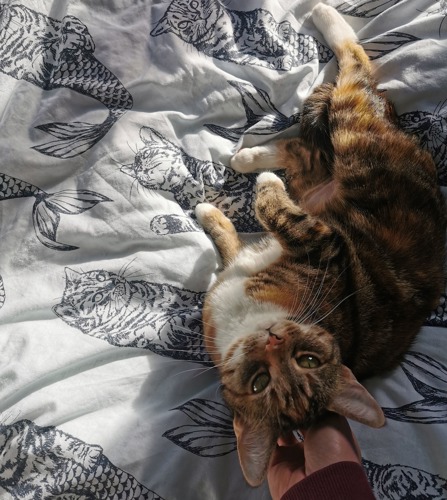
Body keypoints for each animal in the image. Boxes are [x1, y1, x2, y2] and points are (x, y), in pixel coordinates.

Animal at [150, 0, 332, 71]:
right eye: (183, 24)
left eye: (194, 3)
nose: (199, 17)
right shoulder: (235, 56)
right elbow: (261, 60)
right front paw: (282, 60)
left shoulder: (259, 16)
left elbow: (270, 31)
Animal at [196, 2, 447, 488]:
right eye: (259, 383)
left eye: (308, 361)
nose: (272, 340)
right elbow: (233, 243)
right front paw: (213, 217)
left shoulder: (324, 242)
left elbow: (274, 213)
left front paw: (239, 202)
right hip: (317, 177)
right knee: (302, 151)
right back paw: (249, 157)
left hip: (356, 137)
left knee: (354, 68)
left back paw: (322, 14)